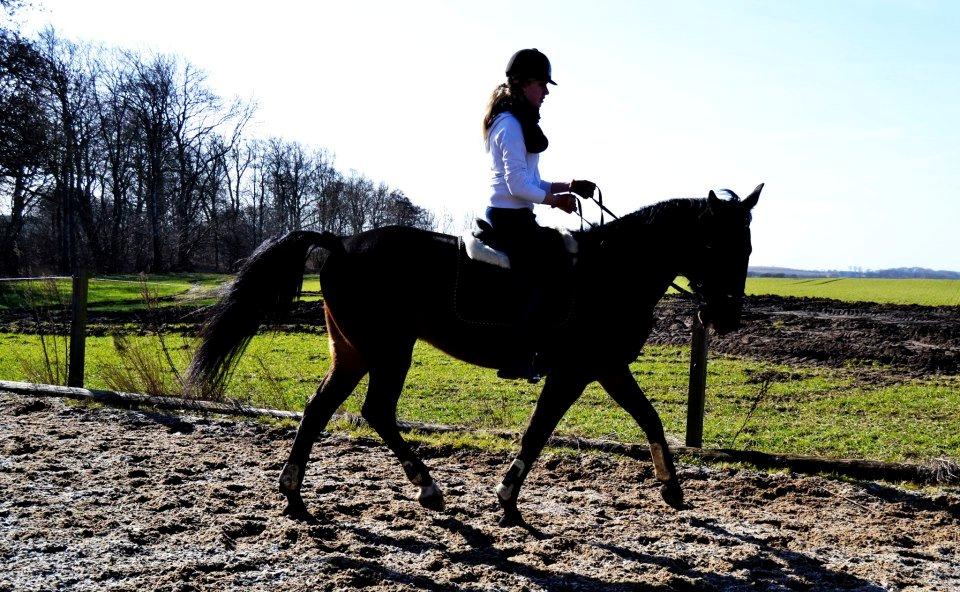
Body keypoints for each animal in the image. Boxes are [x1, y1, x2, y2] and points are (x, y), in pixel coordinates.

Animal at [188, 184, 760, 524]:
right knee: (376, 410)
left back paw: (294, 495)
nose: (726, 318)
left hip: (352, 351)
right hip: (388, 349)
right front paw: (507, 500)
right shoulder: (580, 369)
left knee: (319, 410)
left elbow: (649, 418)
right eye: (716, 245)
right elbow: (541, 429)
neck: (613, 272)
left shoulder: (604, 367)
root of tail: (343, 243)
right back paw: (427, 490)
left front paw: (672, 490)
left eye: (749, 247)